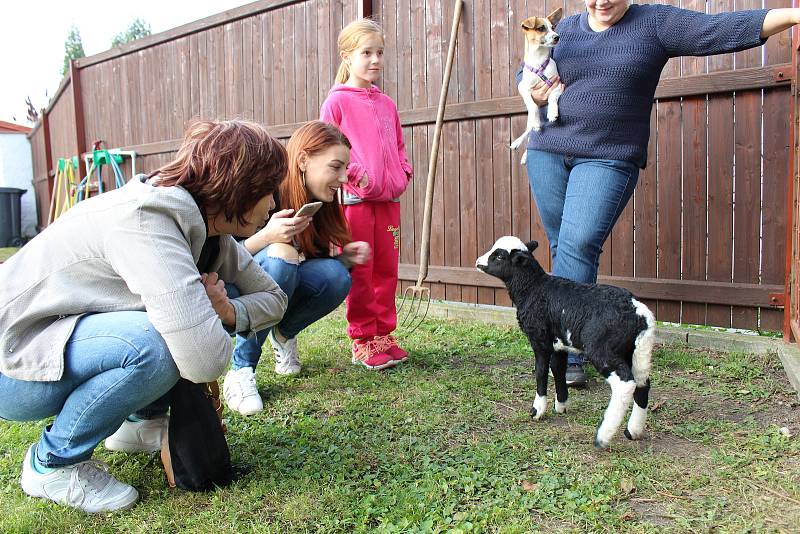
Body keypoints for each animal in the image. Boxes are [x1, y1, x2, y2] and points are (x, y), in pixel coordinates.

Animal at [478, 237, 652, 450]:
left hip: (602, 349)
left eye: (500, 256)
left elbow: (541, 371)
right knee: (643, 383)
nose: (478, 261)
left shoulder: (540, 339)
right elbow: (558, 368)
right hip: (636, 351)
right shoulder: (559, 343)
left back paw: (603, 436)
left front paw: (537, 410)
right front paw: (561, 405)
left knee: (625, 384)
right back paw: (633, 431)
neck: (532, 288)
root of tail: (638, 312)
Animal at [510, 7, 564, 163]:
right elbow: (533, 105)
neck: (538, 62)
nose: (557, 37)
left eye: (553, 27)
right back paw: (518, 142)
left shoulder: (557, 85)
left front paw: (552, 113)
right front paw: (538, 122)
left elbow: (552, 97)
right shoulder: (524, 89)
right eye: (541, 28)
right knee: (529, 128)